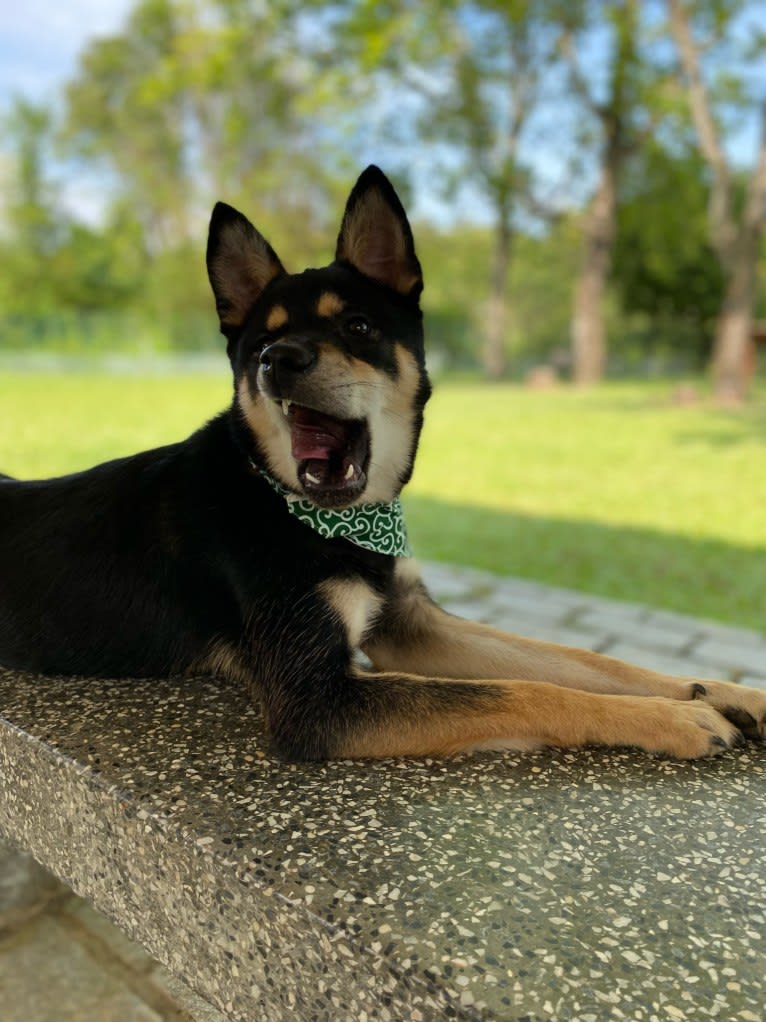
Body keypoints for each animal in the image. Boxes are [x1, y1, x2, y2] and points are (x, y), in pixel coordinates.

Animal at [1, 165, 766, 760]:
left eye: (358, 326)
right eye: (261, 347)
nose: (279, 362)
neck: (295, 507)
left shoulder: (410, 622)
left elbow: (577, 659)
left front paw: (728, 692)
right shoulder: (316, 700)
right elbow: (523, 689)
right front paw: (675, 717)